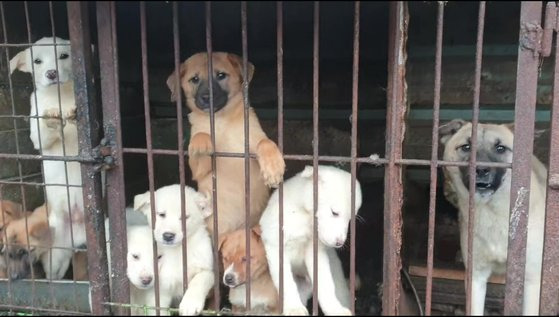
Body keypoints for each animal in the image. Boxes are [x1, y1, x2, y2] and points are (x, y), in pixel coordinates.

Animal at [9, 37, 82, 278]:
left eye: (64, 56)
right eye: (37, 61)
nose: (51, 73)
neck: (60, 95)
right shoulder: (37, 134)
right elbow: (43, 129)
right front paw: (52, 118)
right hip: (56, 258)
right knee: (53, 278)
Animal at [135, 184, 215, 314]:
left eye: (185, 217)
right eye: (161, 214)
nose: (168, 236)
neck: (177, 252)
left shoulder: (208, 270)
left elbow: (199, 279)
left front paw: (190, 303)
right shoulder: (159, 291)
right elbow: (158, 309)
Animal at [166, 51, 284, 238]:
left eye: (221, 75)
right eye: (194, 79)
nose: (207, 98)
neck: (221, 120)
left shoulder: (252, 139)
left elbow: (265, 142)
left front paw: (273, 167)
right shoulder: (199, 171)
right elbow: (200, 136)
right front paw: (201, 143)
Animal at [260, 164, 364, 314]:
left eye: (351, 219)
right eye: (334, 213)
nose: (339, 243)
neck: (303, 216)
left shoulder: (316, 253)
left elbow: (325, 284)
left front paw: (334, 309)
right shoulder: (276, 247)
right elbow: (286, 282)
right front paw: (294, 308)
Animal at [440, 118, 544, 314]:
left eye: (500, 148)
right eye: (466, 147)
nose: (481, 170)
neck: (494, 214)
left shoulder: (532, 279)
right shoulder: (475, 277)